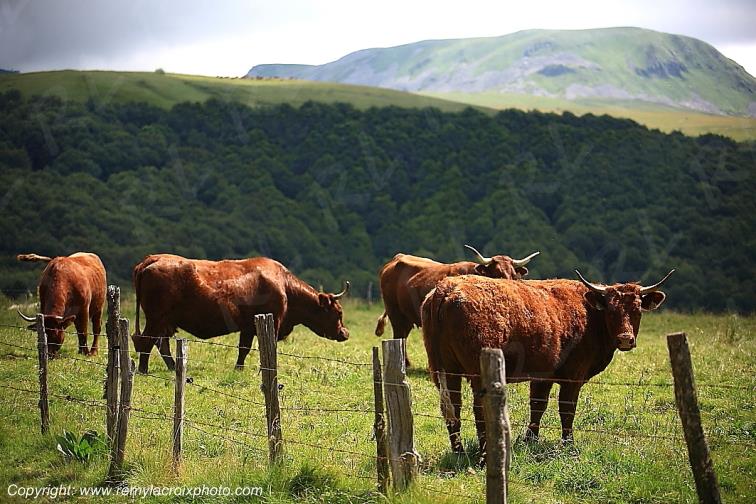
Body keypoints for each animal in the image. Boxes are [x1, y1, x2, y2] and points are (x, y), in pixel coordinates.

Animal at [131, 254, 350, 374]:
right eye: (338, 312)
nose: (345, 333)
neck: (285, 286)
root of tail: (153, 259)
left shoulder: (248, 327)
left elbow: (243, 349)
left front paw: (239, 369)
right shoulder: (272, 323)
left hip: (164, 321)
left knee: (160, 344)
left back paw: (172, 367)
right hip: (156, 319)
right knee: (147, 341)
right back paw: (144, 369)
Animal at [375, 245, 539, 366]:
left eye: (513, 274)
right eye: (497, 272)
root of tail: (396, 258)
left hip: (406, 317)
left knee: (403, 336)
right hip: (395, 313)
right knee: (398, 336)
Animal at [421, 269, 673, 464]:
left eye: (637, 310)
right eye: (611, 309)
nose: (625, 339)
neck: (590, 316)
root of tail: (447, 287)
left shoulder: (542, 375)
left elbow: (538, 406)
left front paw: (530, 440)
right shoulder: (573, 376)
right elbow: (567, 409)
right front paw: (568, 445)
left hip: (445, 370)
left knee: (452, 409)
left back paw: (459, 452)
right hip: (478, 372)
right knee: (478, 409)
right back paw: (484, 455)